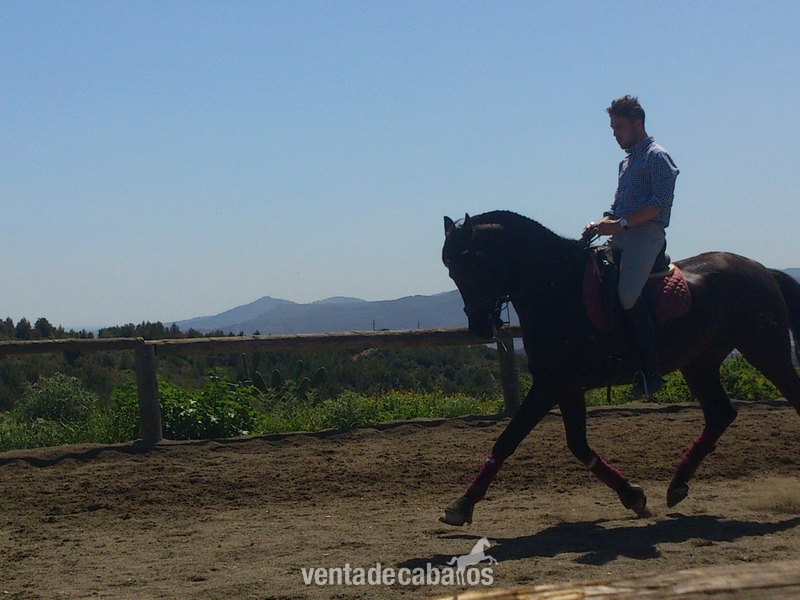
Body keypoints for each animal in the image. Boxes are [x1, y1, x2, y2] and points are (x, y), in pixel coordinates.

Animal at [440, 210, 800, 526]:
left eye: (473, 262)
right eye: (451, 270)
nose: (480, 328)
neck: (557, 290)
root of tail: (763, 270)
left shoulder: (551, 383)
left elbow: (508, 439)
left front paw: (461, 504)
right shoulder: (566, 385)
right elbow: (577, 445)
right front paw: (632, 495)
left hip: (766, 350)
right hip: (700, 363)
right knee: (719, 415)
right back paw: (677, 485)